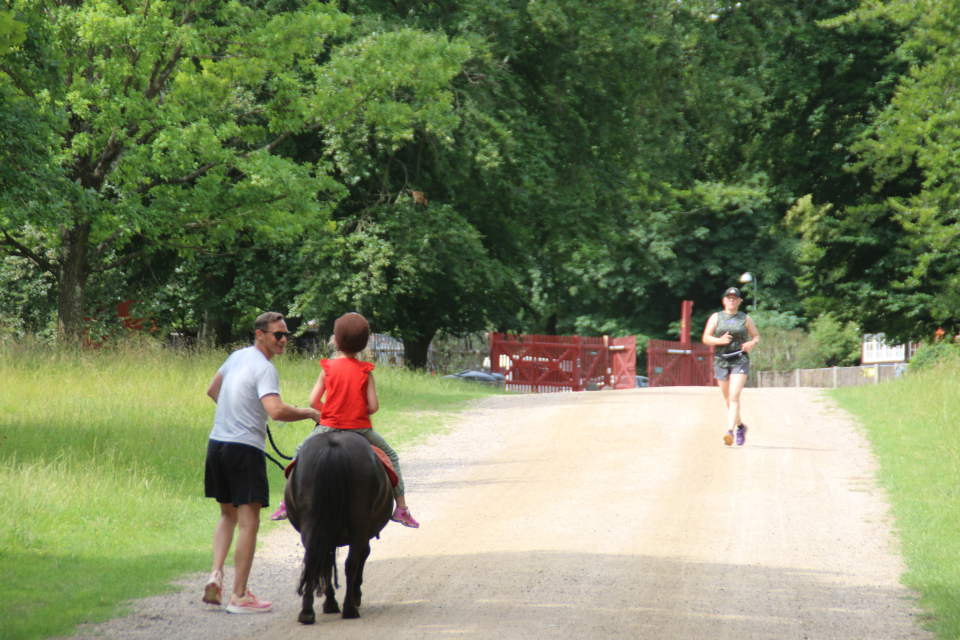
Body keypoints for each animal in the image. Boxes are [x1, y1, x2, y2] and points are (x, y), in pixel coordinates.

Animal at [282, 430, 394, 620]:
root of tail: (333, 447)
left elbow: (327, 561)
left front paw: (330, 602)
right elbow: (362, 556)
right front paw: (354, 596)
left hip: (312, 522)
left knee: (314, 557)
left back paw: (307, 612)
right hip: (359, 524)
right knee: (352, 562)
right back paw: (350, 607)